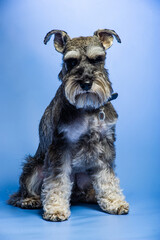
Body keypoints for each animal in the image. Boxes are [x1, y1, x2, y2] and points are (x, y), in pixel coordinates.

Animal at [8, 28, 129, 221]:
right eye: (71, 62)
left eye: (98, 59)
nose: (86, 83)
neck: (87, 109)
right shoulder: (61, 145)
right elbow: (57, 180)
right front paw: (56, 209)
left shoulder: (105, 145)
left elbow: (107, 177)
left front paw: (114, 201)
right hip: (34, 167)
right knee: (20, 193)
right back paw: (30, 200)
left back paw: (91, 196)